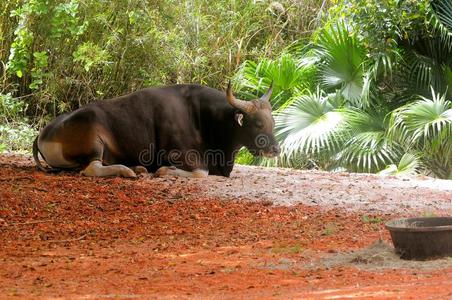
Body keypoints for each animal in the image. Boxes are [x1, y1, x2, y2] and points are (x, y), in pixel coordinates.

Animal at [32, 82, 278, 178]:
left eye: (273, 123)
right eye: (257, 123)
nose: (275, 150)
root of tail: (42, 134)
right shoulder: (177, 153)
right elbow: (201, 172)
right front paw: (163, 171)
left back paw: (137, 168)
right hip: (94, 140)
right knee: (91, 168)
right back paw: (128, 171)